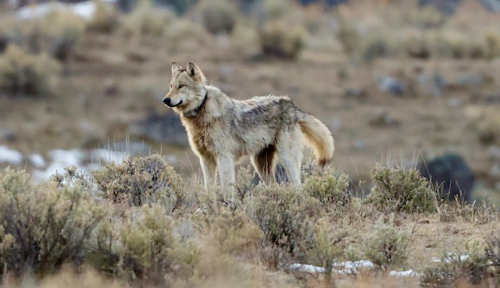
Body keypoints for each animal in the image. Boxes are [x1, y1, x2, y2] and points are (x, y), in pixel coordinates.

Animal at [164, 62, 334, 189]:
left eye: (181, 86)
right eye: (171, 86)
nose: (165, 100)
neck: (202, 110)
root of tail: (291, 105)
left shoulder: (224, 158)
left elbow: (226, 188)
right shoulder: (205, 160)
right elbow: (209, 189)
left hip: (287, 159)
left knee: (298, 186)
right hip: (261, 165)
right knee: (274, 186)